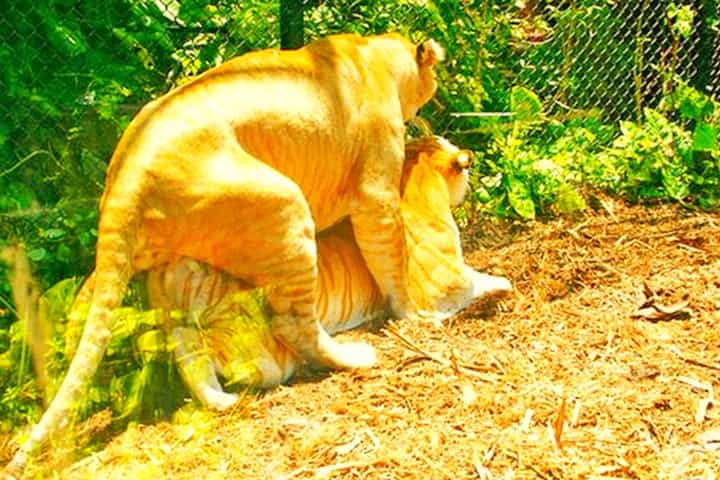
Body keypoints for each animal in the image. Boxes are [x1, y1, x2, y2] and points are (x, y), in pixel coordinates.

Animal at [4, 32, 444, 476]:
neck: (375, 53)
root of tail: (125, 175)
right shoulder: (376, 194)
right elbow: (393, 257)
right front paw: (417, 313)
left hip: (170, 258)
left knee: (160, 327)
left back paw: (215, 399)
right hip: (283, 206)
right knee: (291, 322)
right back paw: (352, 358)